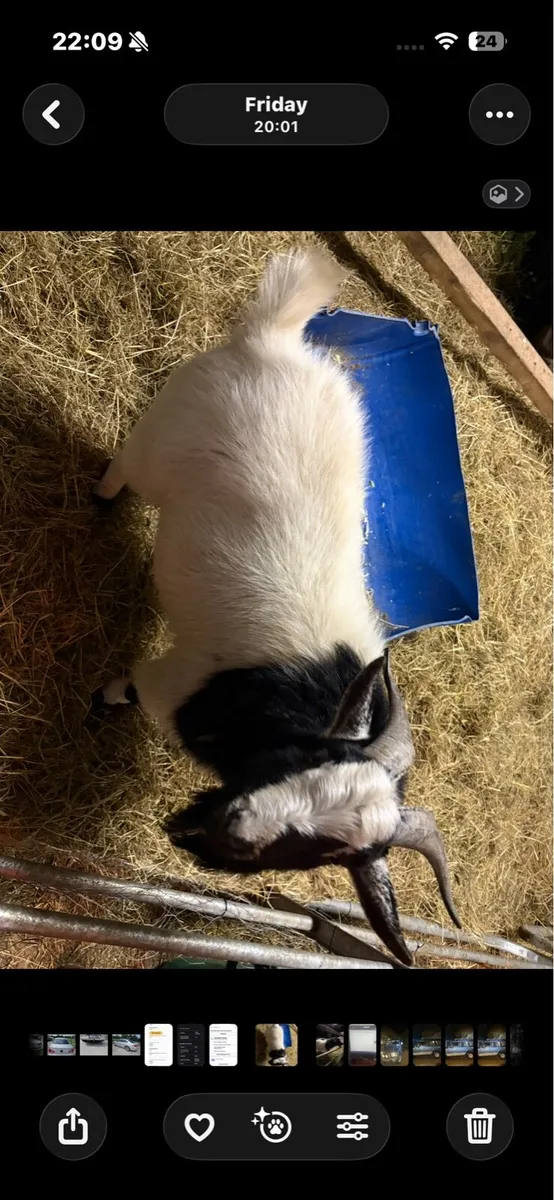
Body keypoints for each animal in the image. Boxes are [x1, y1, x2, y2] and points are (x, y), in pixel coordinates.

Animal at [92, 248, 461, 966]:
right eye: (306, 760)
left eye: (330, 851)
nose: (226, 827)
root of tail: (275, 339)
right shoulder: (171, 682)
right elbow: (129, 687)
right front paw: (98, 703)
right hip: (161, 436)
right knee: (124, 463)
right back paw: (101, 498)